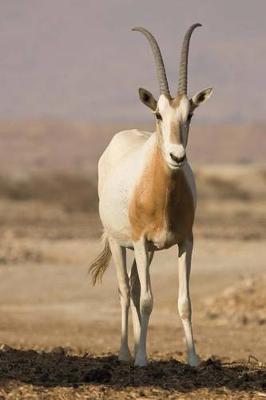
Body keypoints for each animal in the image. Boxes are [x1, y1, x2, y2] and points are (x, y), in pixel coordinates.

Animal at [89, 24, 212, 366]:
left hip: (149, 251)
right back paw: (125, 353)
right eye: (158, 114)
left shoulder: (185, 242)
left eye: (190, 115)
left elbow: (185, 302)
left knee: (132, 286)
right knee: (124, 289)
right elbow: (146, 300)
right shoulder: (142, 242)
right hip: (121, 243)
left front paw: (193, 359)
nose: (177, 156)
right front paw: (142, 359)